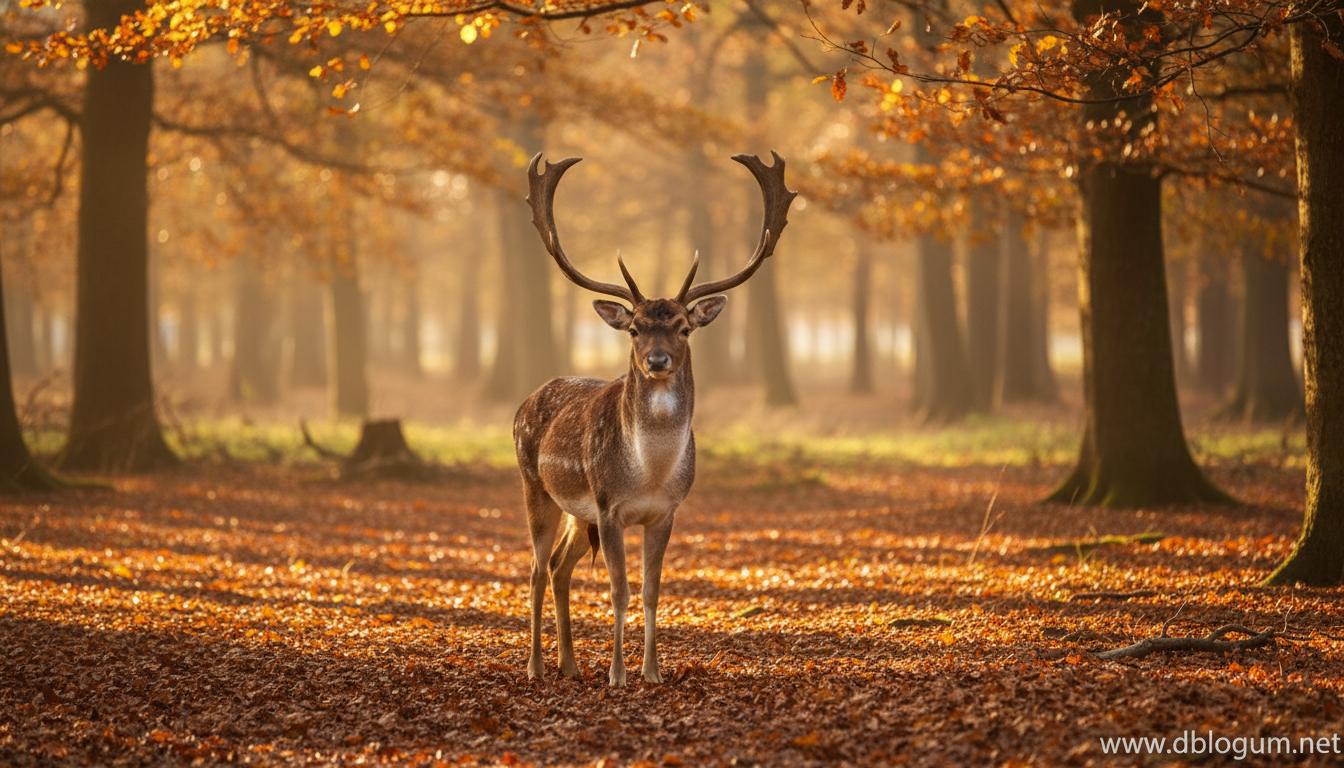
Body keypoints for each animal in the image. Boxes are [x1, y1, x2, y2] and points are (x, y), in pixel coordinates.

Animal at [513, 150, 796, 686]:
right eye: (635, 329)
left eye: (684, 327)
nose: (658, 360)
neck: (649, 472)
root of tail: (524, 401)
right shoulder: (609, 507)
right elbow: (619, 591)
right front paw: (618, 674)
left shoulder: (666, 512)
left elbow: (651, 591)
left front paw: (652, 671)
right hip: (535, 486)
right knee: (537, 568)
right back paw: (537, 666)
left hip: (577, 513)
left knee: (559, 567)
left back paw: (570, 664)